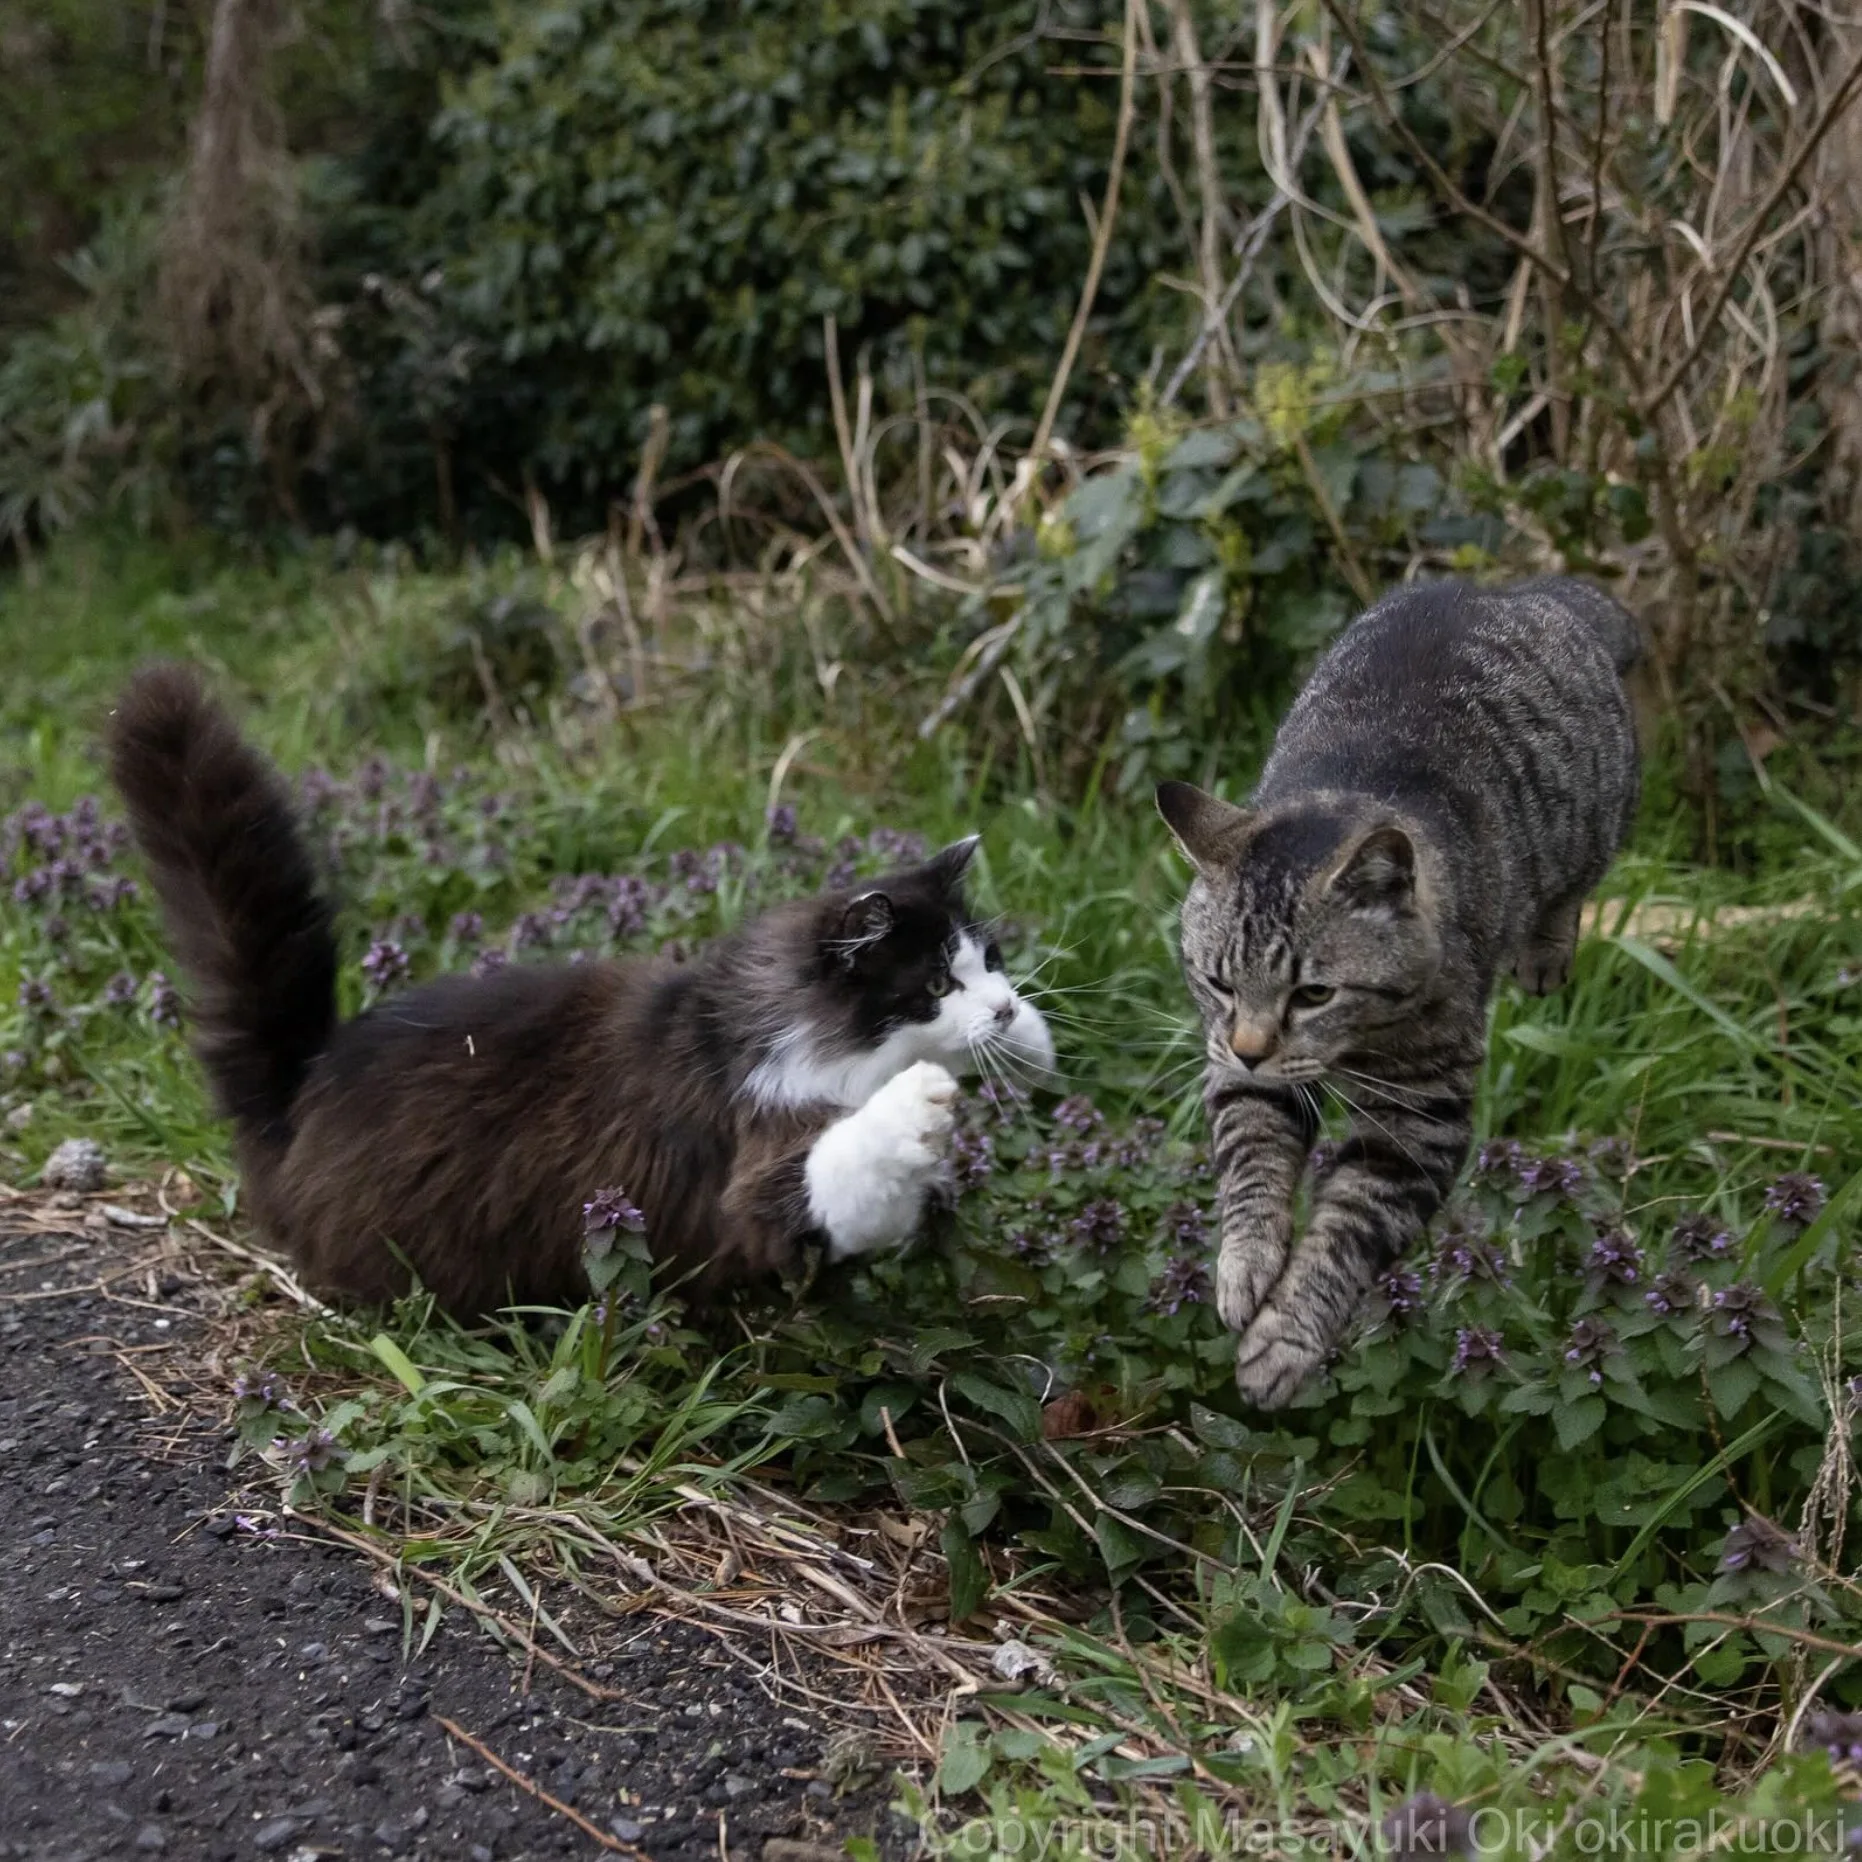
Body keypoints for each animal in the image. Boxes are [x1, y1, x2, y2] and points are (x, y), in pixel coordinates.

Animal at [108, 666, 1057, 1310]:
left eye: (991, 958)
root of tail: (297, 1089)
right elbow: (842, 1170)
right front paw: (920, 1106)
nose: (1004, 1003)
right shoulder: (756, 1168)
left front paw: (1023, 1047)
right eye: (934, 981)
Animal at [1154, 573, 1638, 1400]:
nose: (1251, 1047)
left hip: (1595, 820)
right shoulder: (1240, 1076)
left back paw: (1543, 954)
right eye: (1218, 982)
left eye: (1313, 993)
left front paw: (1284, 1339)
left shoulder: (1419, 1124)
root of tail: (1520, 589)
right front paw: (1243, 1268)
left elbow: (1345, 1239)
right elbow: (1251, 1166)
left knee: (1571, 889)